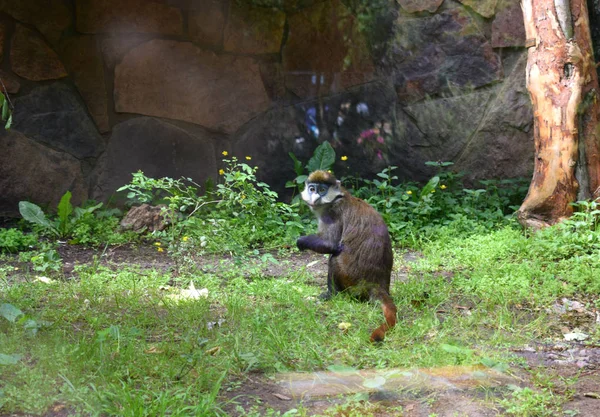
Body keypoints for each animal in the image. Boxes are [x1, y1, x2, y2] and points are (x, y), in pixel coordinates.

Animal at [296, 169, 398, 342]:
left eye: (322, 190)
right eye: (312, 189)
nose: (315, 198)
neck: (340, 196)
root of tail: (378, 285)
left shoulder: (332, 213)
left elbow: (330, 245)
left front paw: (301, 241)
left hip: (352, 279)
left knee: (334, 258)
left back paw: (331, 295)